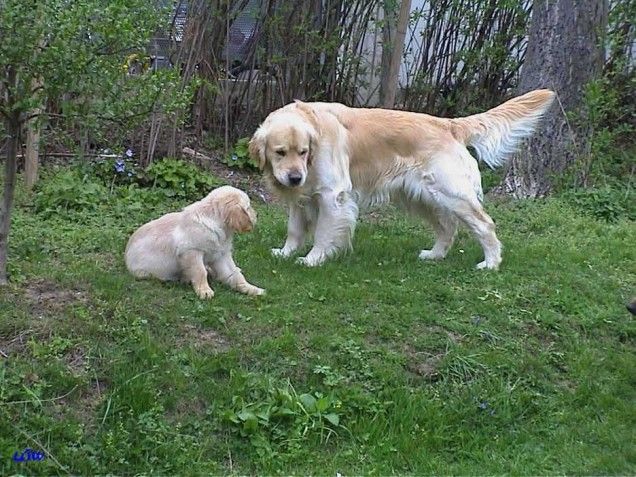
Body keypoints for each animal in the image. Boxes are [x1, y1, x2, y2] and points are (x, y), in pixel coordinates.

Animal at [125, 185, 264, 298]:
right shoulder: (191, 251)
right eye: (248, 207)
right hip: (146, 272)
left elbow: (234, 274)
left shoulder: (221, 255)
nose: (257, 215)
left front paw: (251, 289)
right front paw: (204, 291)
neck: (215, 221)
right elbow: (200, 271)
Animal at [250, 89, 556, 268]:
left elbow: (324, 233)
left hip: (452, 195)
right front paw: (286, 252)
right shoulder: (300, 198)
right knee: (447, 228)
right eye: (280, 152)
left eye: (303, 152)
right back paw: (434, 255)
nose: (294, 177)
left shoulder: (332, 195)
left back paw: (490, 263)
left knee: (485, 225)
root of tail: (449, 124)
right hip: (423, 197)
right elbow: (294, 229)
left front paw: (313, 259)